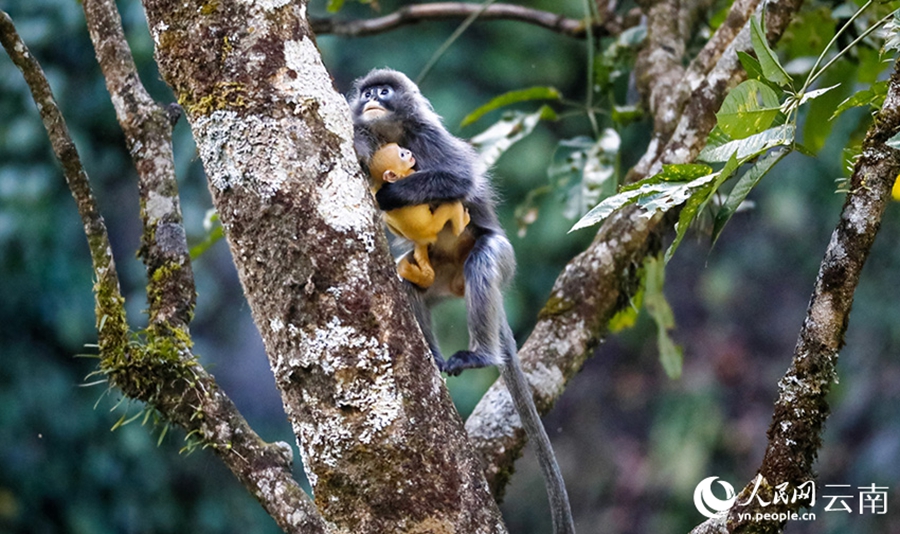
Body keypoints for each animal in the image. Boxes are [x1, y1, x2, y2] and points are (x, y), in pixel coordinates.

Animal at [370, 143, 474, 288]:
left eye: (402, 150)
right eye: (402, 155)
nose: (408, 152)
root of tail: (421, 240)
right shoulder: (411, 173)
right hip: (434, 226)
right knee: (452, 205)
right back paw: (461, 224)